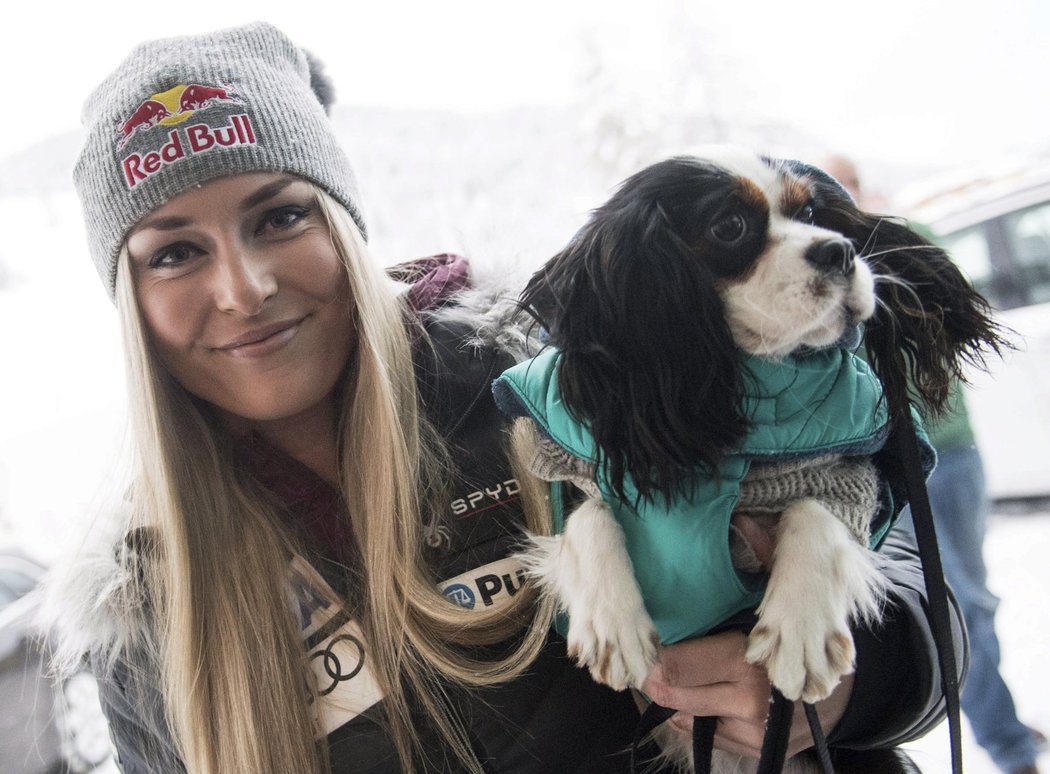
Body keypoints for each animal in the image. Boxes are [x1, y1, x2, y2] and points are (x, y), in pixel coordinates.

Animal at [493, 144, 1007, 768]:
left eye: (811, 213)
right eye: (730, 227)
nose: (840, 250)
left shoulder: (852, 477)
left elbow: (817, 510)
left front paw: (800, 630)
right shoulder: (577, 470)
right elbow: (590, 515)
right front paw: (613, 625)